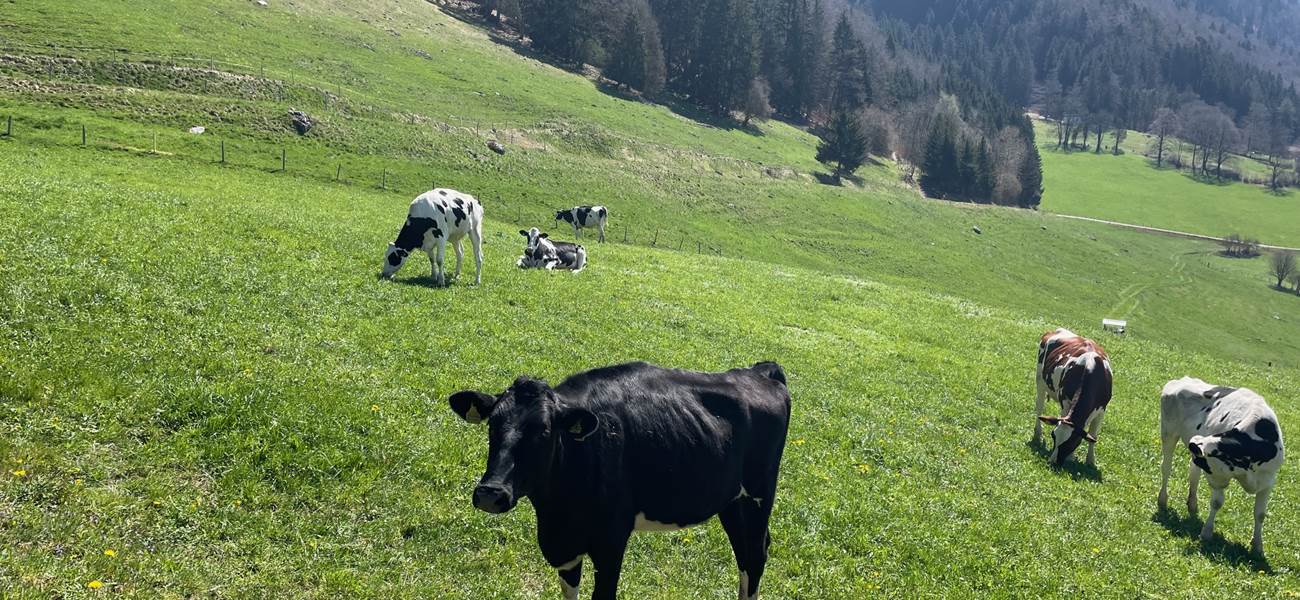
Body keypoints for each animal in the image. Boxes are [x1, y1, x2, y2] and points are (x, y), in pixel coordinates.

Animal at [448, 361, 792, 600]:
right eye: (493, 424)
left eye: (543, 430)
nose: (490, 493)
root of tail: (759, 371)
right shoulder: (565, 547)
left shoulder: (611, 542)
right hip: (732, 502)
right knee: (745, 555)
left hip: (759, 496)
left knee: (755, 555)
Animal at [1033, 328, 1113, 467]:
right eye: (1053, 435)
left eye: (1071, 442)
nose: (1053, 462)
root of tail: (1056, 330)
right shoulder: (1065, 403)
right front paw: (1071, 457)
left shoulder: (1102, 411)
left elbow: (1093, 436)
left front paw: (1090, 461)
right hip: (1040, 381)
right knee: (1039, 407)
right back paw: (1038, 434)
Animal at [1158, 377, 1284, 556]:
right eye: (1208, 466)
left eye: (1205, 463)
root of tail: (1181, 379)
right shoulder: (1218, 478)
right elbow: (1217, 503)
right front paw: (1207, 532)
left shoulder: (1267, 481)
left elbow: (1260, 514)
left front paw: (1257, 546)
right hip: (1168, 433)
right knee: (1166, 468)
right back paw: (1162, 500)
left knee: (1193, 473)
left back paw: (1192, 505)